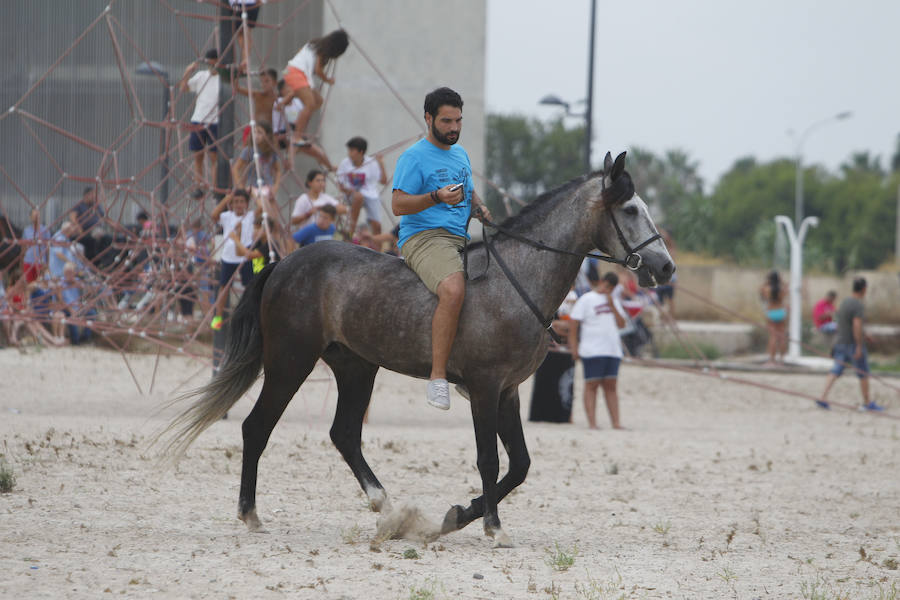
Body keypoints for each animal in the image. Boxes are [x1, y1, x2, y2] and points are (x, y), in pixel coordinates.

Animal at [158, 151, 672, 548]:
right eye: (630, 210)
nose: (665, 268)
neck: (517, 280)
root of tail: (285, 263)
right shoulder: (485, 388)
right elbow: (490, 459)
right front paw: (492, 528)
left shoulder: (507, 390)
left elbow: (520, 466)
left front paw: (457, 516)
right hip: (290, 363)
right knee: (257, 428)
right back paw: (251, 514)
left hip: (356, 368)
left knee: (345, 434)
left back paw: (385, 508)